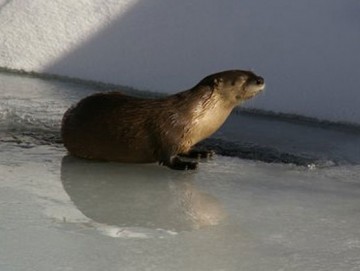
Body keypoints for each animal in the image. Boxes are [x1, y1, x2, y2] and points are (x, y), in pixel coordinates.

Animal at [61, 71, 264, 171]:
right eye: (242, 79)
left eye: (252, 71)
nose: (261, 79)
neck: (195, 116)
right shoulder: (169, 132)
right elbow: (168, 157)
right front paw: (186, 165)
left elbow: (187, 149)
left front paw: (201, 152)